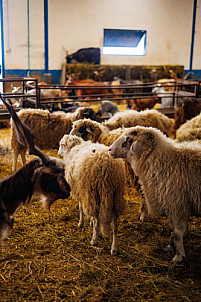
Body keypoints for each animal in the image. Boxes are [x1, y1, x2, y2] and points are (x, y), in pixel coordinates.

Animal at [108, 125, 201, 262]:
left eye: (129, 139)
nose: (109, 150)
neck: (165, 161)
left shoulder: (176, 204)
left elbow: (177, 232)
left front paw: (178, 257)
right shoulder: (172, 205)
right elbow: (173, 229)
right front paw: (171, 247)